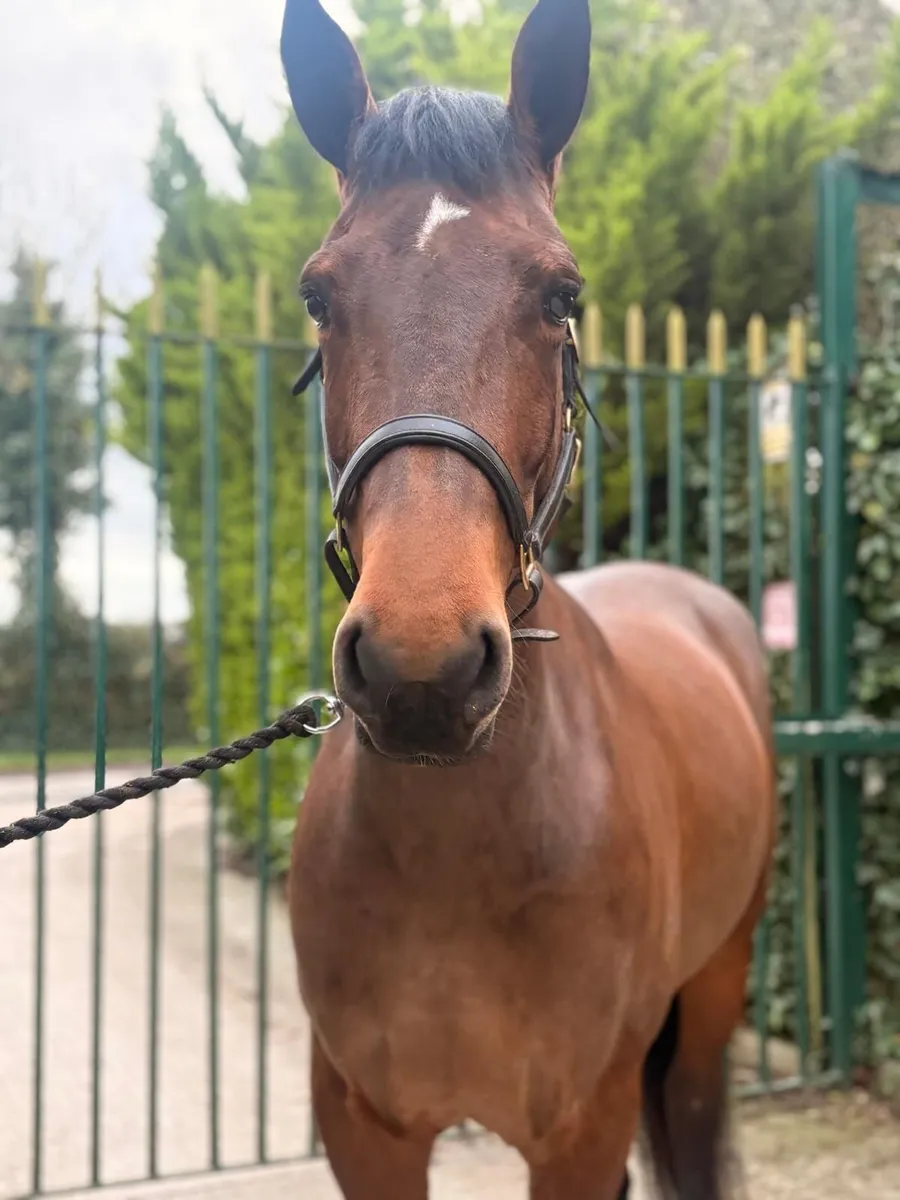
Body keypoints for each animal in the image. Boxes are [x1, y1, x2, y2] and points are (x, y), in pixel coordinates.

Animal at [280, 1, 776, 1196]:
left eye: (563, 294)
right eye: (319, 296)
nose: (420, 669)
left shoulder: (581, 1130)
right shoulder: (366, 1129)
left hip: (713, 1000)